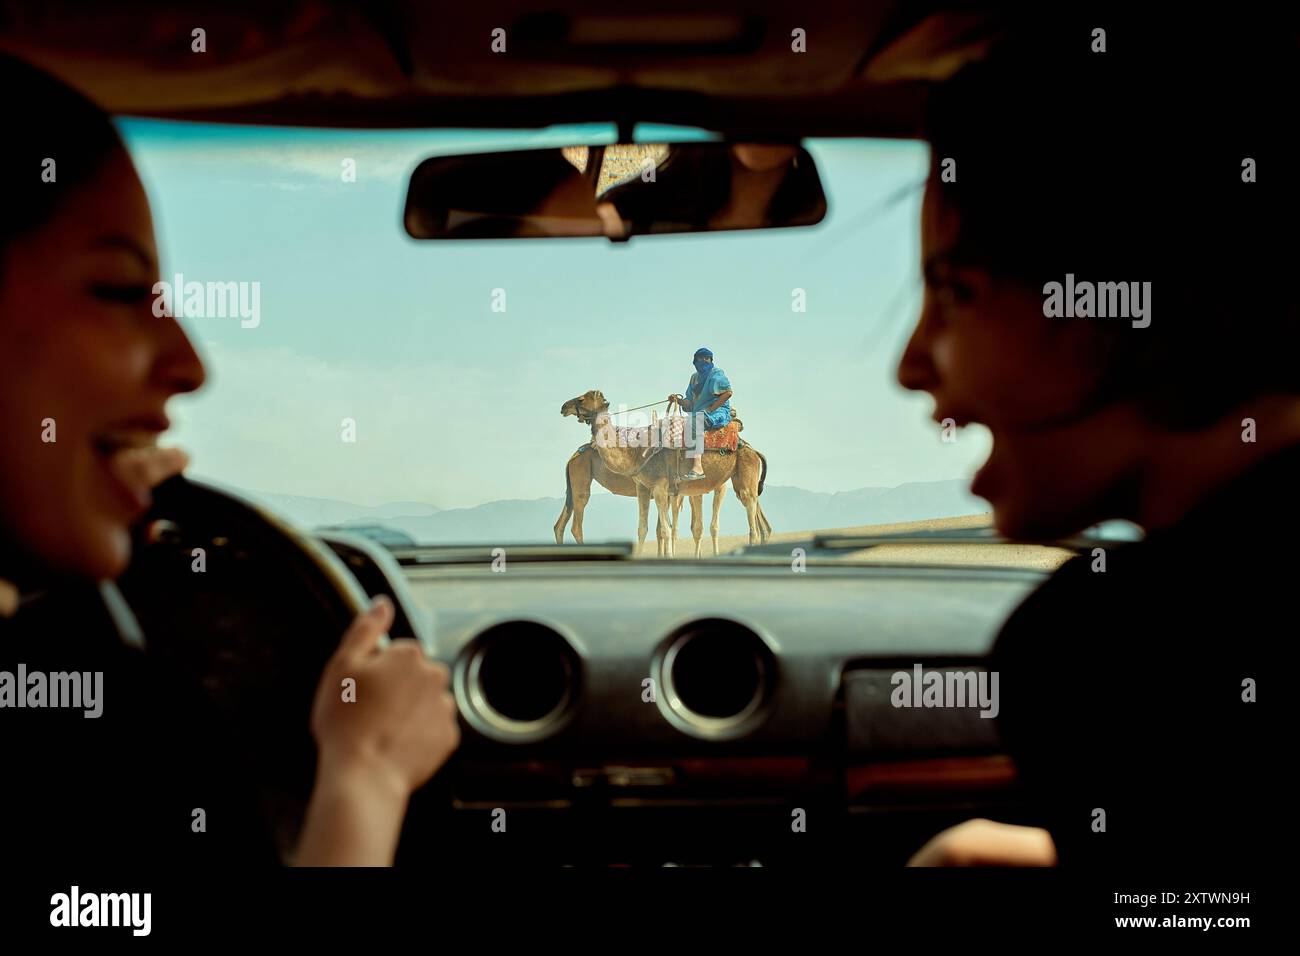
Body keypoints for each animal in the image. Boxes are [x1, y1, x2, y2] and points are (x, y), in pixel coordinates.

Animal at [561, 387, 769, 556]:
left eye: (582, 399)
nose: (564, 406)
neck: (637, 452)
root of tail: (751, 449)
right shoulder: (644, 488)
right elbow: (644, 529)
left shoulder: (662, 489)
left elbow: (666, 530)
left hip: (744, 480)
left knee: (752, 523)